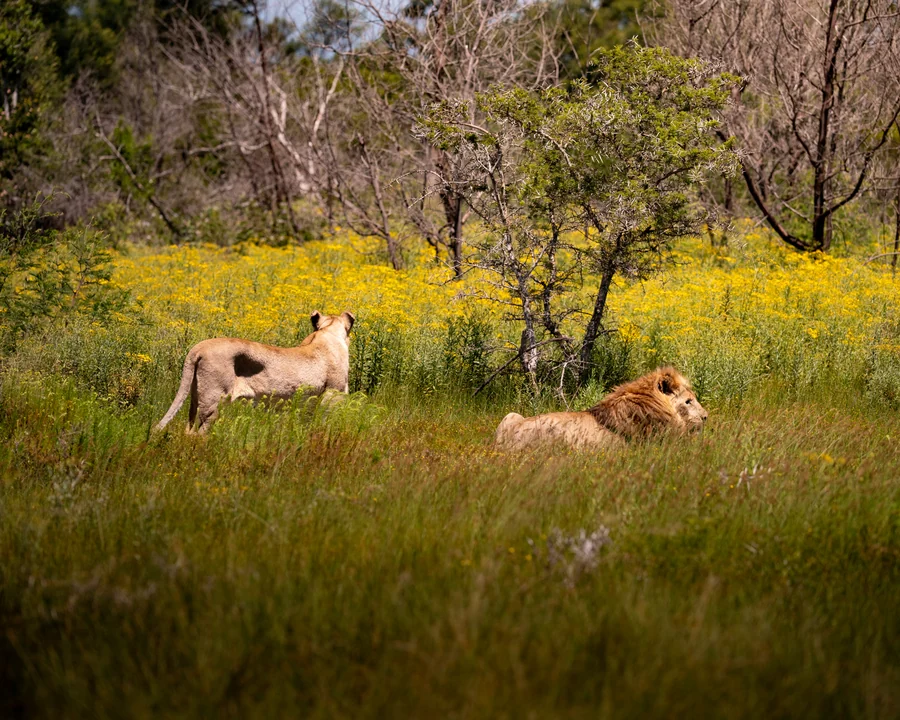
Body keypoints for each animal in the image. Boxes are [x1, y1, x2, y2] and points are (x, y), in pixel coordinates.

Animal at [155, 310, 355, 433]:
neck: (327, 332)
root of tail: (197, 348)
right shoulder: (333, 394)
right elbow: (327, 423)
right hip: (213, 400)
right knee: (199, 432)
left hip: (195, 397)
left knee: (188, 430)